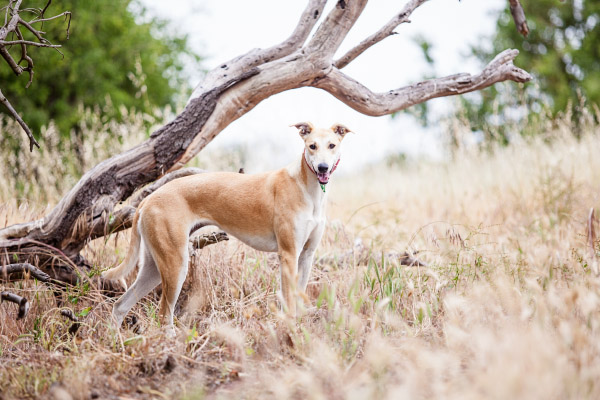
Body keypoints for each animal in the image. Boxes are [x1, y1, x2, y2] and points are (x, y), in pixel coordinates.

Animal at [101, 121, 350, 332]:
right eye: (312, 146)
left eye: (332, 145)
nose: (323, 168)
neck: (308, 189)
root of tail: (148, 200)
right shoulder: (288, 255)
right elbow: (288, 300)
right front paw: (288, 331)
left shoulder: (306, 255)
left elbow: (298, 297)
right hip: (175, 265)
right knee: (163, 315)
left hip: (153, 267)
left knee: (120, 305)